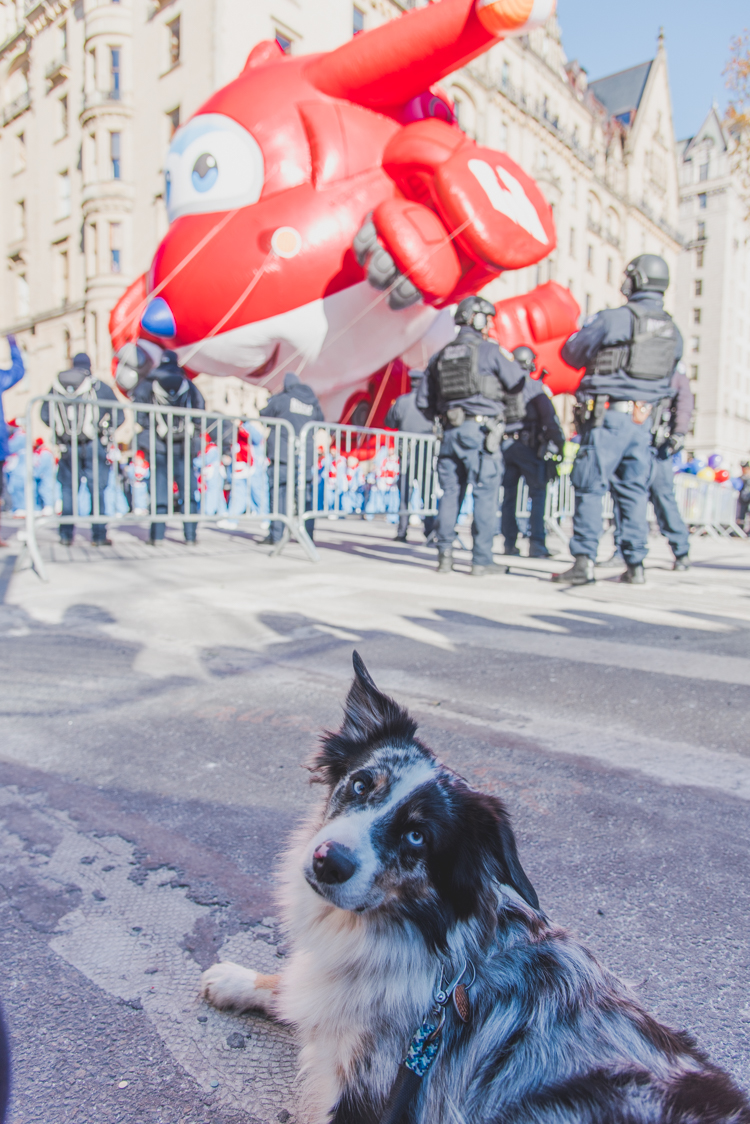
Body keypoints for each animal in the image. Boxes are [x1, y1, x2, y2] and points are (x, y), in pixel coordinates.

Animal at [201, 651, 750, 1124]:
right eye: (360, 784)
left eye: (418, 836)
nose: (327, 861)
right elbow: (293, 988)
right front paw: (237, 979)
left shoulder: (366, 1098)